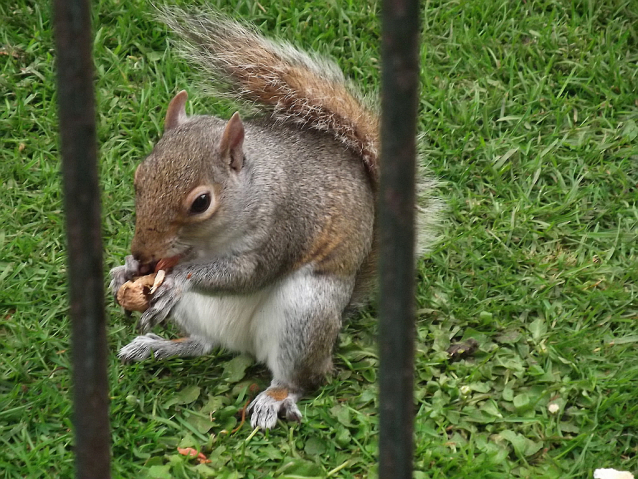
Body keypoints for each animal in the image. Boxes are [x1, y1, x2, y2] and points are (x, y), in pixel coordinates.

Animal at [110, 5, 440, 430]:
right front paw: (125, 270)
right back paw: (159, 346)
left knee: (303, 379)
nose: (142, 252)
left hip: (304, 314)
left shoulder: (285, 226)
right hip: (199, 316)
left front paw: (178, 279)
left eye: (201, 202)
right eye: (139, 175)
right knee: (203, 345)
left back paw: (274, 398)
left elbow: (247, 274)